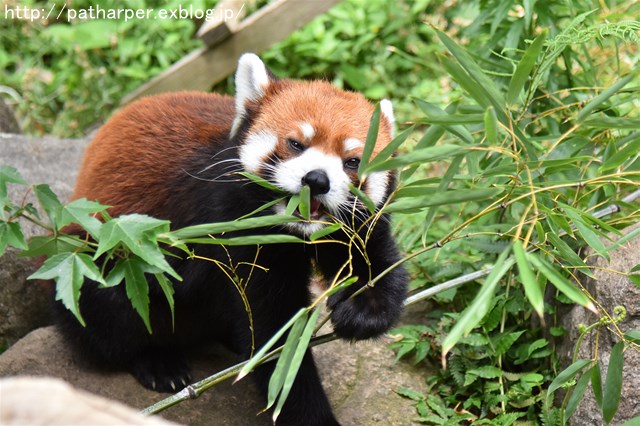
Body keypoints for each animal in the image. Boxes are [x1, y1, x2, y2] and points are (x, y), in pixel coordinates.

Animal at [53, 54, 404, 426]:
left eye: (352, 162)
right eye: (295, 144)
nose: (317, 180)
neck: (292, 230)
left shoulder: (355, 226)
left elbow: (378, 262)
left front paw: (361, 310)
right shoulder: (232, 223)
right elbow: (270, 331)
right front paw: (308, 412)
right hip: (105, 250)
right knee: (107, 306)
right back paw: (156, 360)